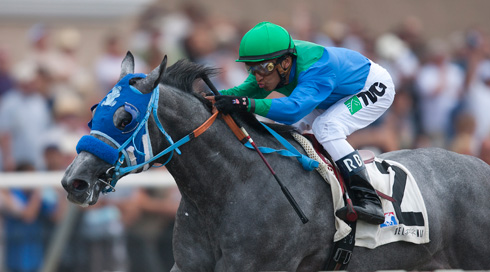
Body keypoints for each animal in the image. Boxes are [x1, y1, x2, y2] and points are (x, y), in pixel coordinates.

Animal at [61, 52, 490, 270]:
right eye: (95, 111)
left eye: (124, 118)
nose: (73, 181)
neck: (230, 185)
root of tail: (480, 166)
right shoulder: (189, 265)